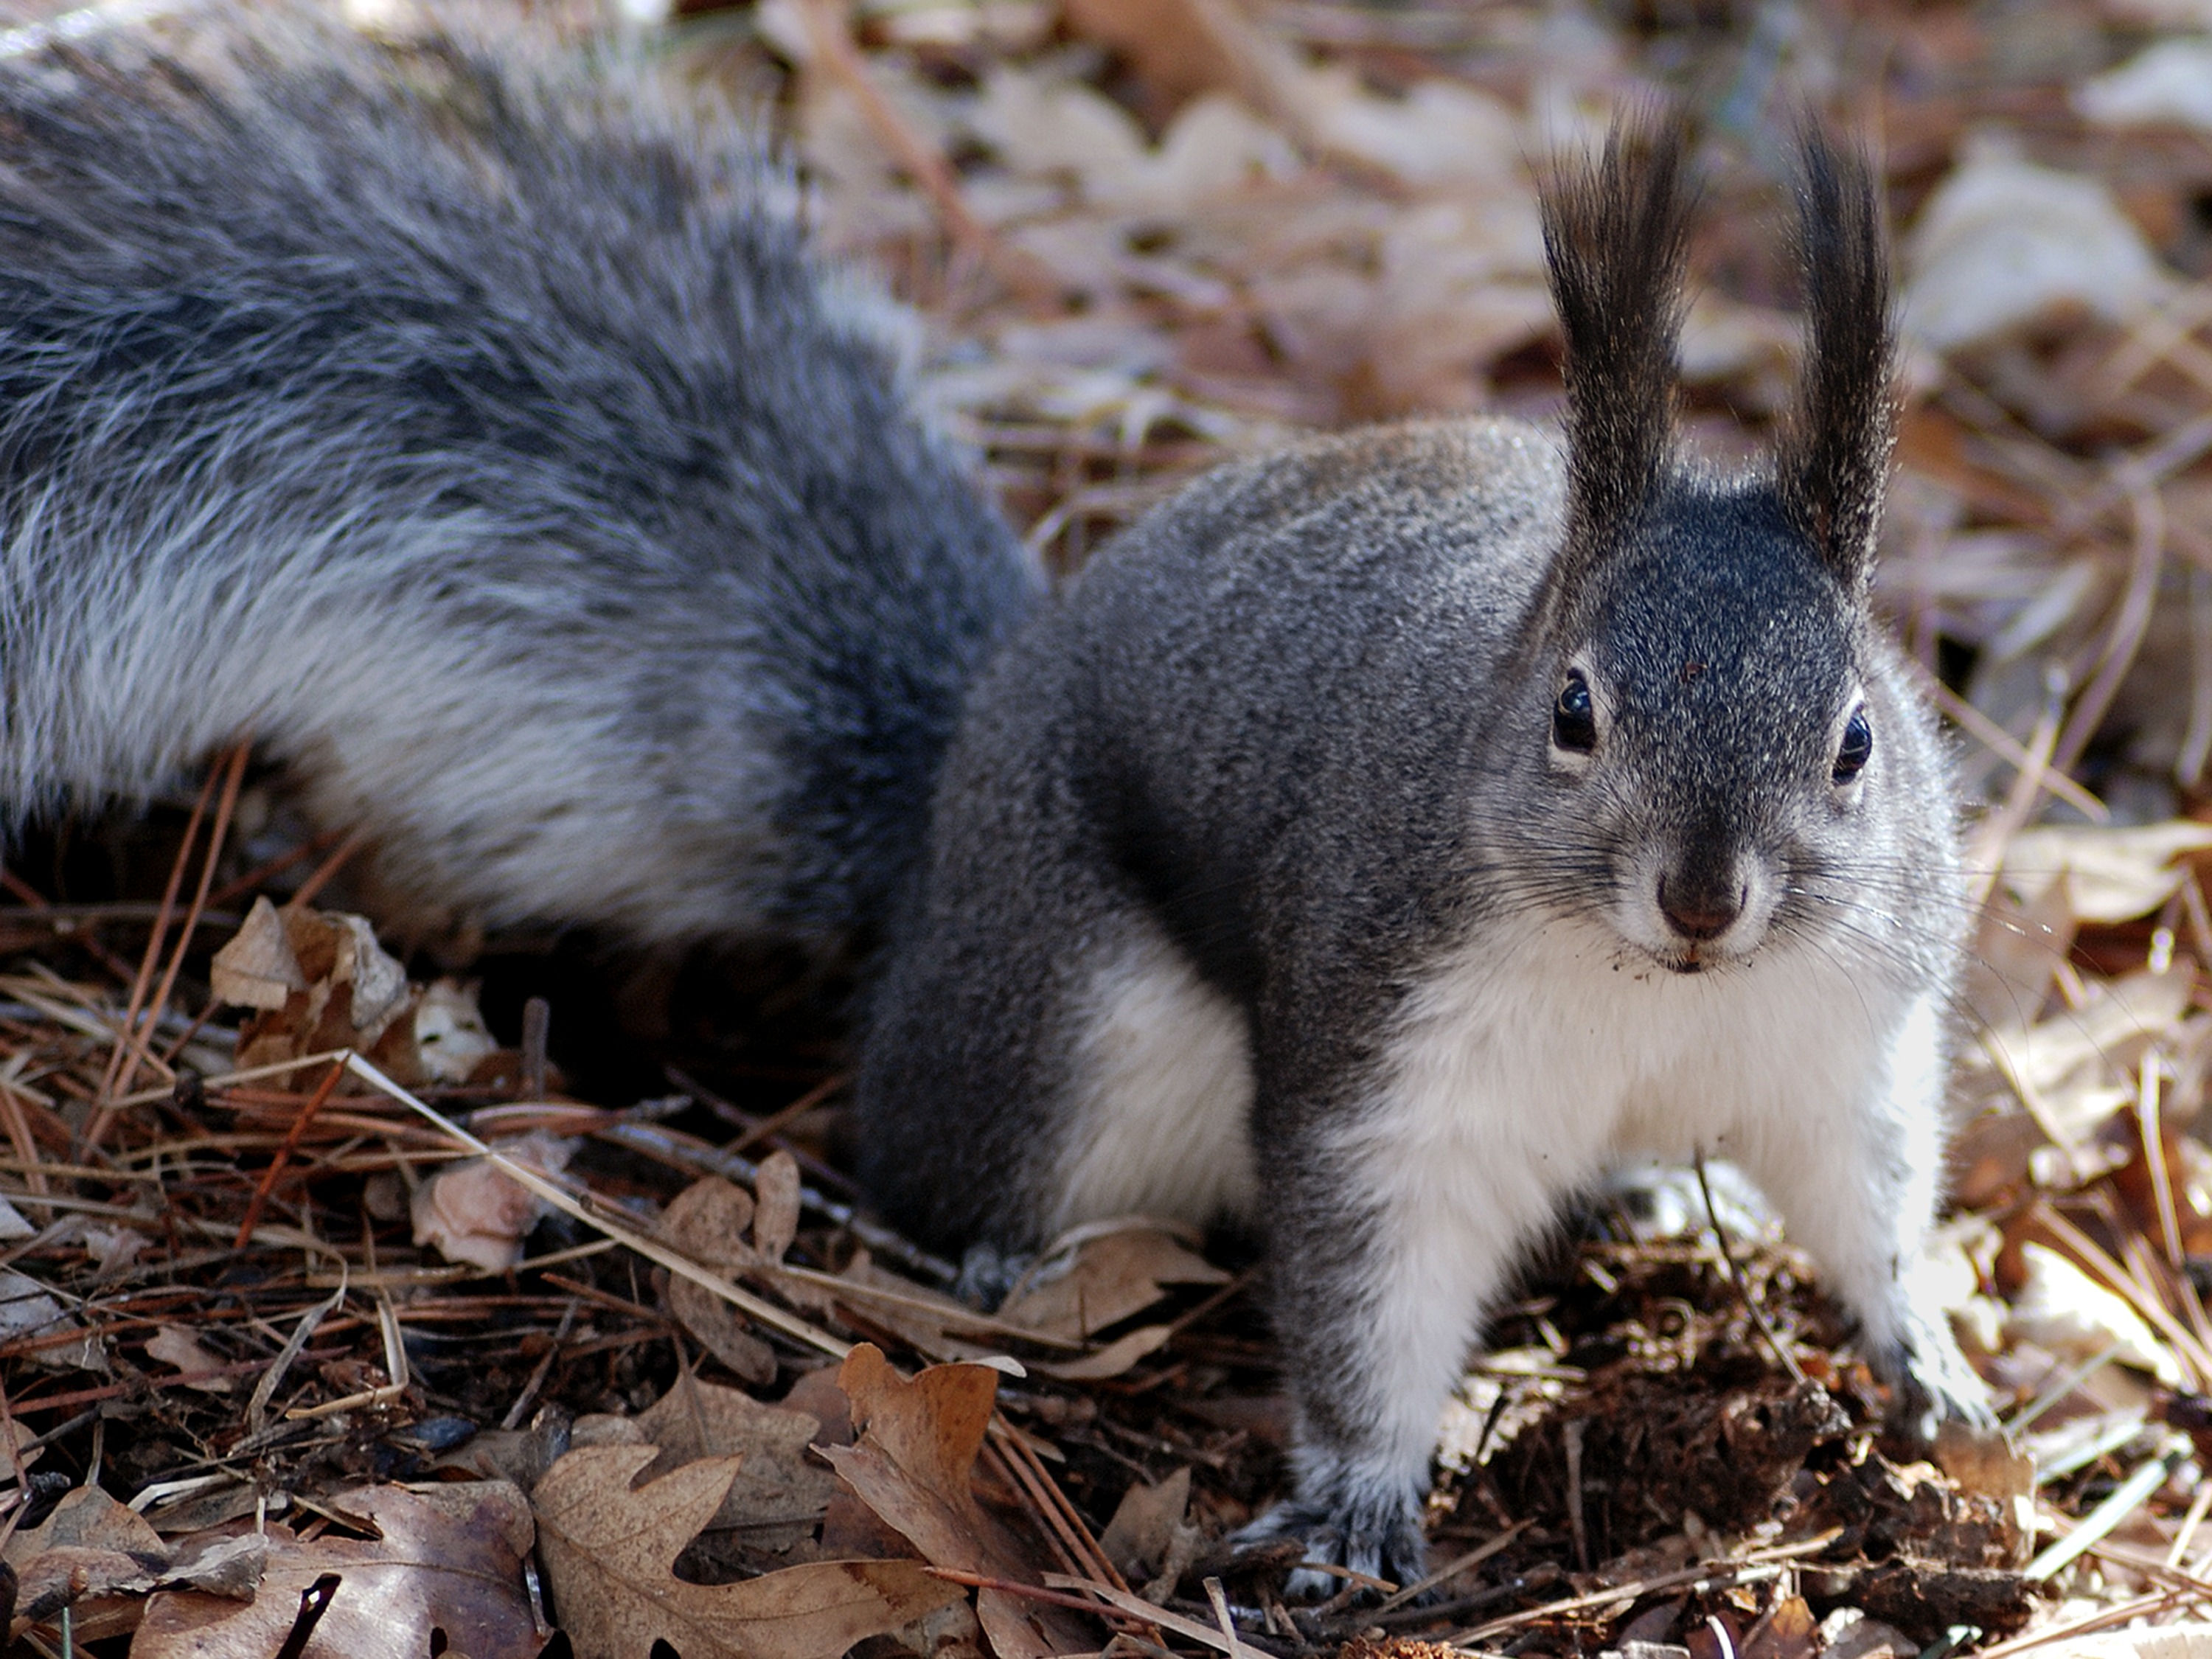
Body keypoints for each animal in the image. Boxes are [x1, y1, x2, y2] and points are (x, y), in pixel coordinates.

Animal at [0, 10, 1991, 1601]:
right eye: (1572, 709)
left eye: (1857, 739)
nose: (1705, 894)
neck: (1657, 996)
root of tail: (950, 804)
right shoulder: (1388, 1051)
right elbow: (1368, 1285)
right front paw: (1356, 1497)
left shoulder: (1845, 1038)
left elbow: (1867, 1195)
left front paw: (1934, 1359)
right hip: (1066, 1026)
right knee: (938, 1139)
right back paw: (974, 1249)